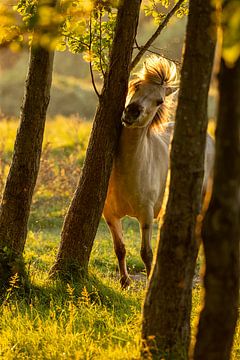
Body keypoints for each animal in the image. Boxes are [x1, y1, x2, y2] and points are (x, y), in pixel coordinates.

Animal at [102, 55, 215, 290]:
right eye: (136, 85)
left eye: (159, 101)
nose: (132, 112)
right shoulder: (110, 215)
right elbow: (120, 248)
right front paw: (124, 282)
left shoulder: (145, 216)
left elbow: (146, 253)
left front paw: (148, 284)